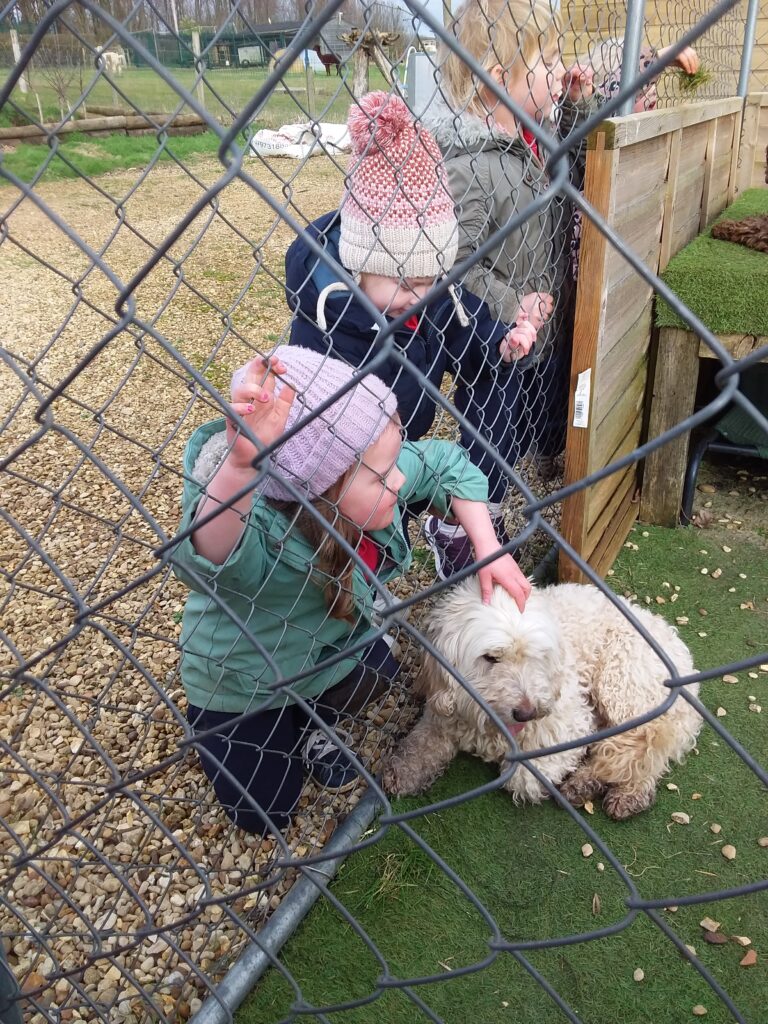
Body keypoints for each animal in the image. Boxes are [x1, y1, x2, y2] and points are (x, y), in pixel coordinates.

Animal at [385, 581, 704, 819]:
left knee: (642, 749)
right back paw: (586, 783)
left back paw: (626, 792)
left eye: (537, 654)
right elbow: (422, 743)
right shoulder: (443, 714)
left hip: (623, 684)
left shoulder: (570, 722)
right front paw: (403, 771)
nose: (527, 713)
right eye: (490, 657)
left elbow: (524, 778)